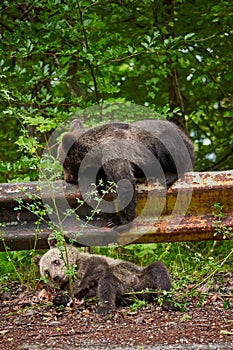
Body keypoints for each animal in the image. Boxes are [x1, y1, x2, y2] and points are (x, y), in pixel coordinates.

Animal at [34, 239, 173, 314]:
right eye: (46, 272)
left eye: (56, 261)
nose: (56, 277)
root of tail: (139, 292)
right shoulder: (68, 284)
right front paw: (59, 298)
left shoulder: (91, 262)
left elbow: (97, 268)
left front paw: (80, 288)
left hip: (139, 277)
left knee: (158, 269)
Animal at [57, 119, 195, 226]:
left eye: (62, 162)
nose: (67, 178)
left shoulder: (114, 151)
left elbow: (124, 183)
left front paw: (120, 222)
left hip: (172, 141)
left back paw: (168, 176)